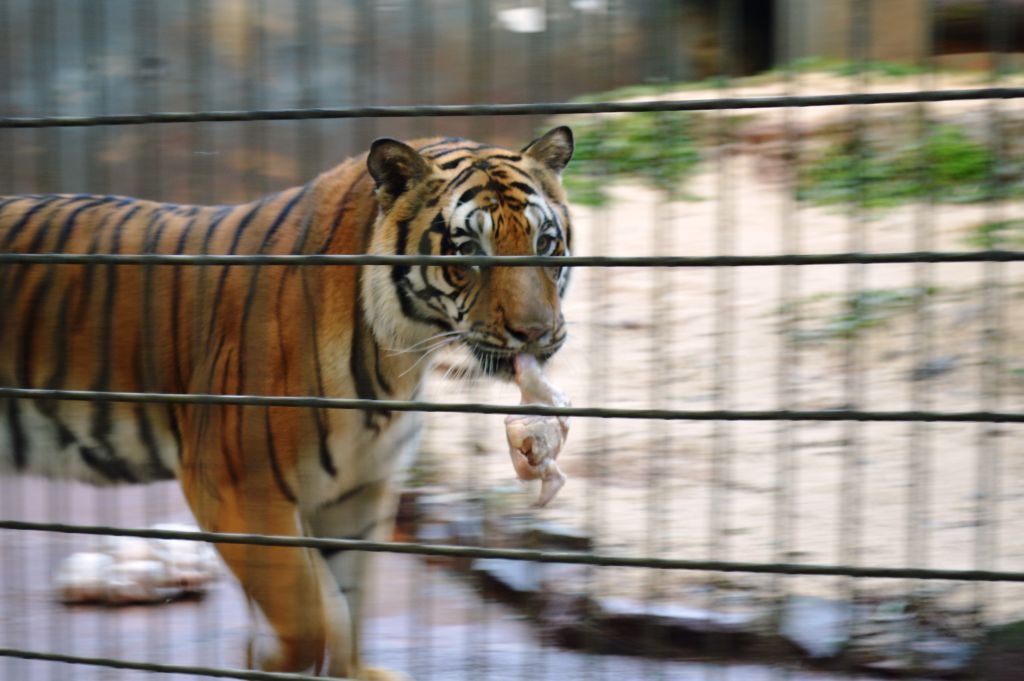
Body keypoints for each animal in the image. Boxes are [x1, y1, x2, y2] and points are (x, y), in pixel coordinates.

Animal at [0, 126, 574, 679]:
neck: (399, 357)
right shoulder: (237, 485)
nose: (536, 333)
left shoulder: (358, 489)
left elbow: (347, 600)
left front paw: (347, 671)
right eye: (469, 251)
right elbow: (309, 615)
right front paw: (265, 658)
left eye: (546, 243)